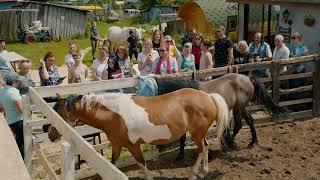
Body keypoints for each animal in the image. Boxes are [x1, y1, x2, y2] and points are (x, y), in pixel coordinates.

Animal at [48, 89, 231, 180]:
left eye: (59, 113)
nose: (51, 135)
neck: (114, 114)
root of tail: (208, 96)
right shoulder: (117, 145)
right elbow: (112, 165)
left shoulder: (133, 146)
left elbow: (142, 165)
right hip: (199, 133)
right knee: (205, 147)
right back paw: (203, 172)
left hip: (196, 133)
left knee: (201, 149)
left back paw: (194, 174)